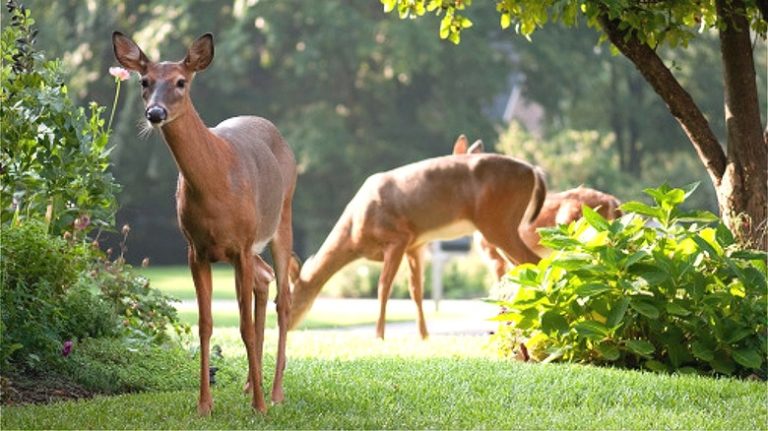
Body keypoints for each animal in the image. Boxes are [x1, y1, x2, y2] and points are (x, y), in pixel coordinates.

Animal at [111, 31, 296, 416]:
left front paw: (259, 407)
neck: (216, 186)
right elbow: (206, 325)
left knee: (284, 298)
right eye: (144, 81)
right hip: (248, 246)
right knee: (265, 278)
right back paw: (249, 383)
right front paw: (204, 405)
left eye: (181, 82)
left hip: (281, 216)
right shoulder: (195, 249)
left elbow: (243, 326)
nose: (155, 113)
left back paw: (274, 393)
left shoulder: (241, 245)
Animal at [288, 137, 544, 340]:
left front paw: (379, 336)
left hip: (497, 221)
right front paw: (423, 335)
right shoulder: (416, 245)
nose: (287, 326)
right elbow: (416, 291)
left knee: (534, 261)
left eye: (290, 298)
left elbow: (383, 287)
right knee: (520, 267)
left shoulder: (398, 238)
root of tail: (533, 170)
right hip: (500, 225)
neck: (354, 235)